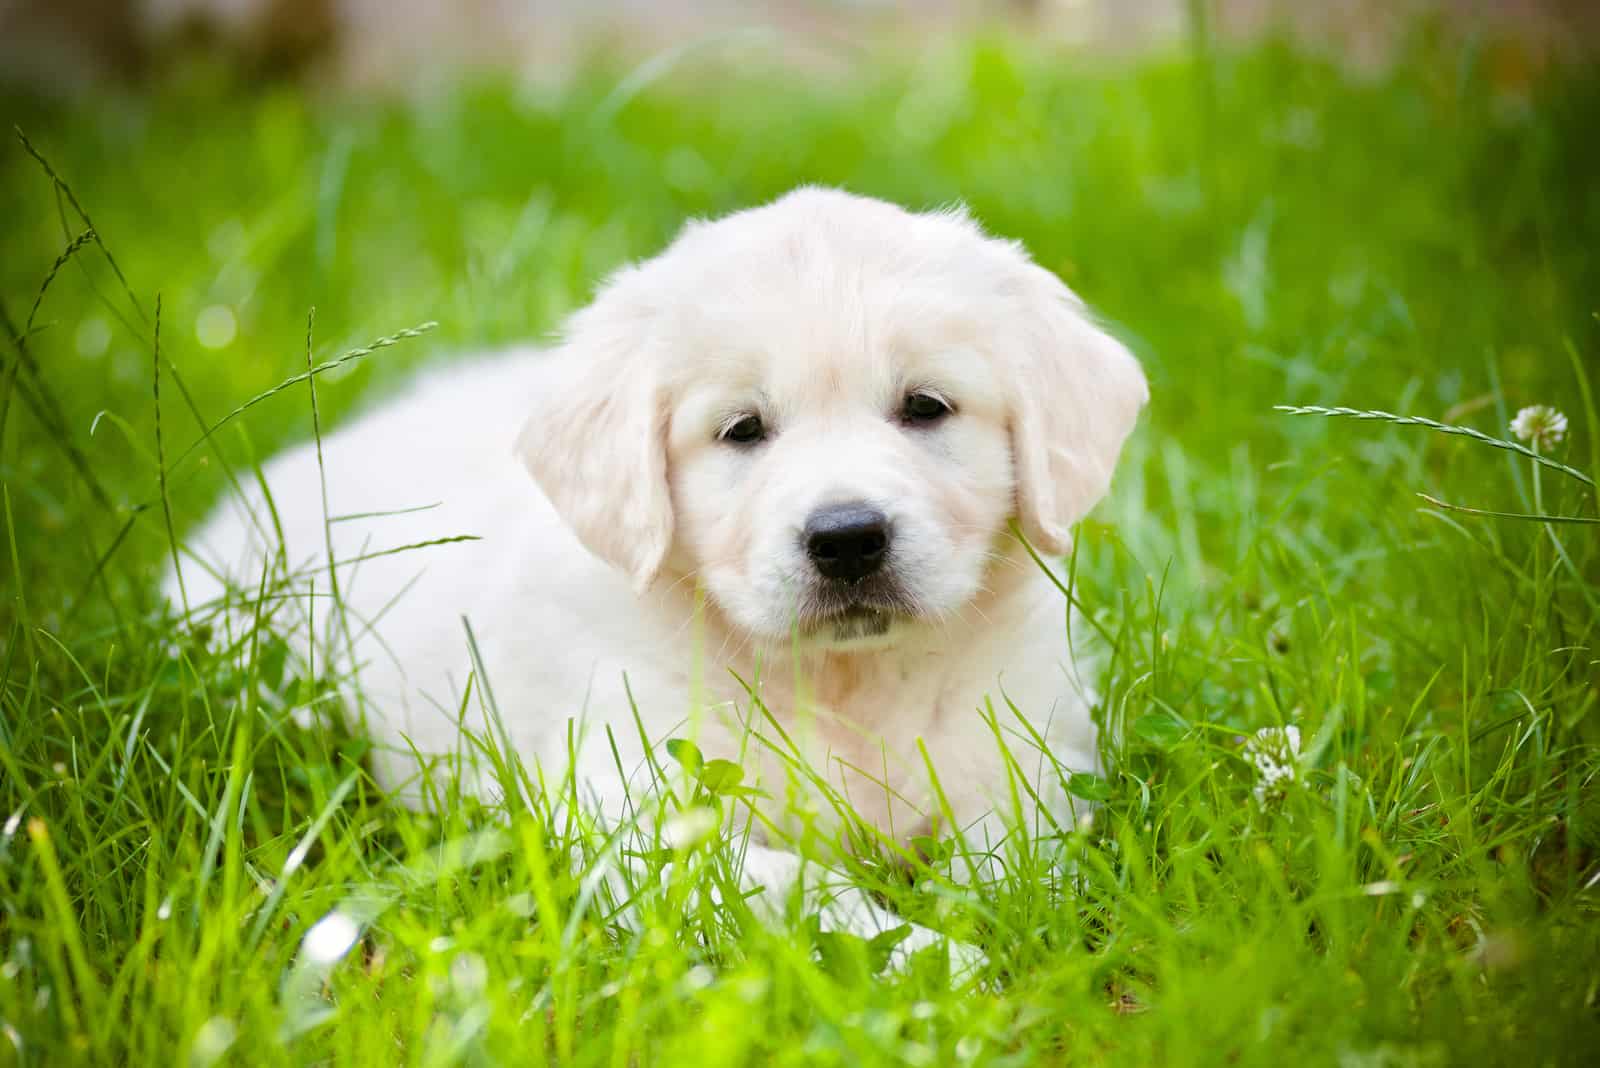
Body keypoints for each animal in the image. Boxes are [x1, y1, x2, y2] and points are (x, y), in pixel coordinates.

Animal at [172, 185, 1152, 965]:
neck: (844, 679)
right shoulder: (633, 806)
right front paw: (930, 962)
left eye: (925, 407)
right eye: (742, 429)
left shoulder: (1031, 750)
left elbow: (1015, 857)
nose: (847, 539)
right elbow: (794, 886)